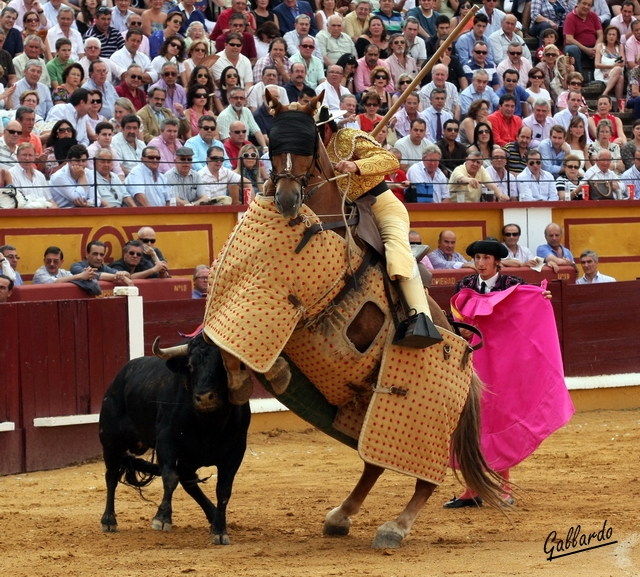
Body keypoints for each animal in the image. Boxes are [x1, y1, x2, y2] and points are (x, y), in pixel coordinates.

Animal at [99, 330, 251, 544]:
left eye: (222, 366)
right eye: (190, 366)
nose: (204, 398)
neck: (208, 423)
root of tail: (117, 379)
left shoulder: (236, 449)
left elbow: (223, 489)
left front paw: (220, 530)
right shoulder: (166, 440)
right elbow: (170, 477)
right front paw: (162, 519)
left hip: (189, 457)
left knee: (188, 480)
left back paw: (213, 516)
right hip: (111, 441)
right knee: (111, 475)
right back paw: (109, 520)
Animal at [195, 91, 504, 548]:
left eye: (307, 146)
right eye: (272, 144)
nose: (286, 200)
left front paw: (274, 374)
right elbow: (223, 346)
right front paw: (245, 383)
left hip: (430, 419)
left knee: (425, 477)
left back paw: (396, 527)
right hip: (364, 410)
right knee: (372, 463)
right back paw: (341, 515)